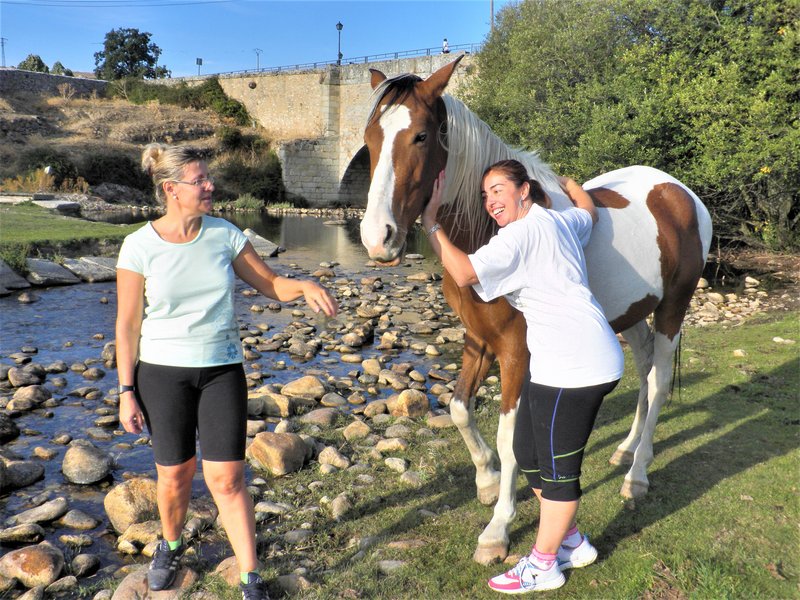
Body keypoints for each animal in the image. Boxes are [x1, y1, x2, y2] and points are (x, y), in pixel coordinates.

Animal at [356, 55, 712, 564]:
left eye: (421, 136)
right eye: (369, 139)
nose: (377, 238)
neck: (486, 233)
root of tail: (681, 193)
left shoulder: (516, 352)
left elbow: (509, 438)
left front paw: (497, 527)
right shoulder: (478, 339)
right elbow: (459, 408)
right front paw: (486, 482)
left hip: (672, 308)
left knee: (660, 381)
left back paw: (637, 475)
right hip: (631, 315)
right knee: (644, 372)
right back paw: (625, 450)